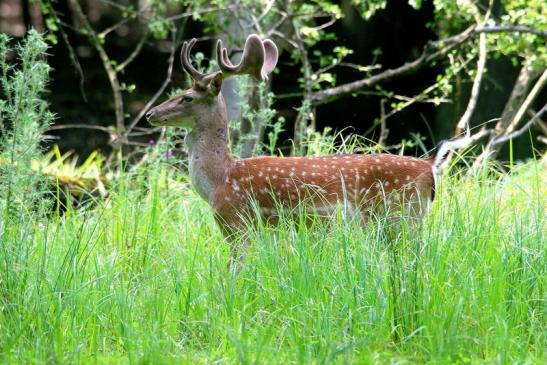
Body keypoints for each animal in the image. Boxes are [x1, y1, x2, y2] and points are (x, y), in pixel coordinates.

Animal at [146, 34, 470, 258]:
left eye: (187, 97)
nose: (151, 114)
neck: (220, 180)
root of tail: (429, 165)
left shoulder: (237, 223)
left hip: (402, 214)